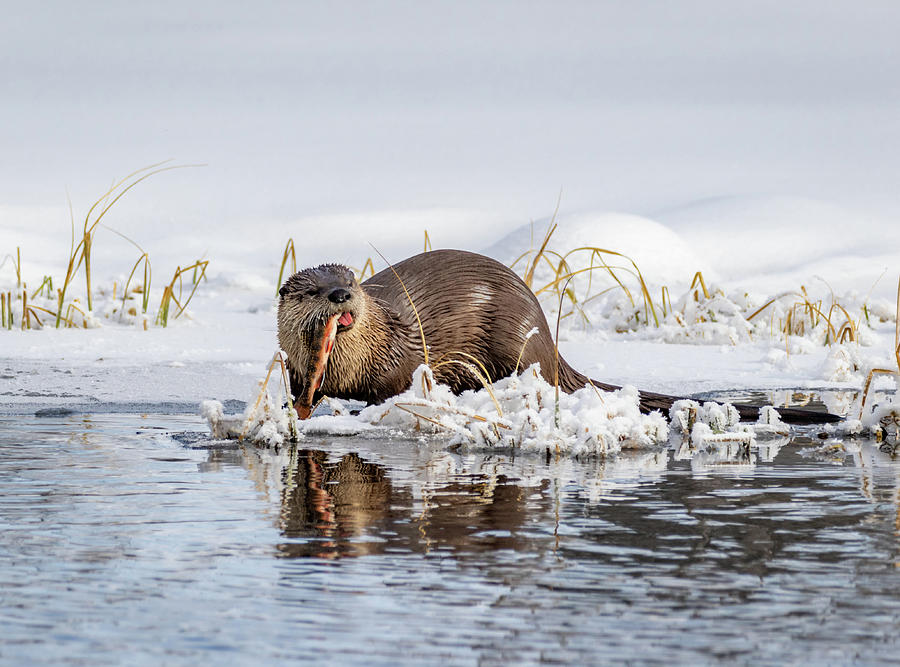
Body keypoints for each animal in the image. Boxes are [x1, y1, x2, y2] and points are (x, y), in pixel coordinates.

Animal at [278, 248, 840, 426]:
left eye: (351, 283)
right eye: (312, 290)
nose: (340, 297)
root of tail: (550, 342)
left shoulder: (400, 356)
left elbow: (393, 388)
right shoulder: (296, 367)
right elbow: (298, 390)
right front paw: (294, 409)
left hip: (514, 344)